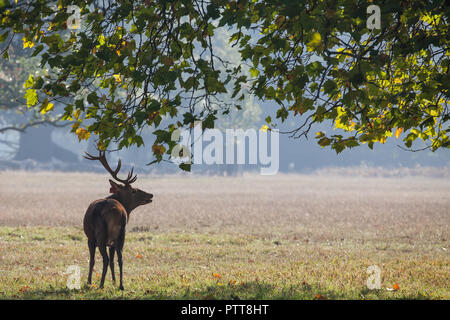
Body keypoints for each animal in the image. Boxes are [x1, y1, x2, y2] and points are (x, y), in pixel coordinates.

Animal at [83, 151, 154, 290]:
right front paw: (114, 281)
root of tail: (118, 211)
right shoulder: (111, 242)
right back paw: (121, 285)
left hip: (101, 234)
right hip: (121, 233)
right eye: (134, 190)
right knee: (120, 258)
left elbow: (92, 260)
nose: (151, 195)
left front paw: (88, 281)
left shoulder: (90, 238)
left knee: (105, 259)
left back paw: (101, 285)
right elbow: (112, 261)